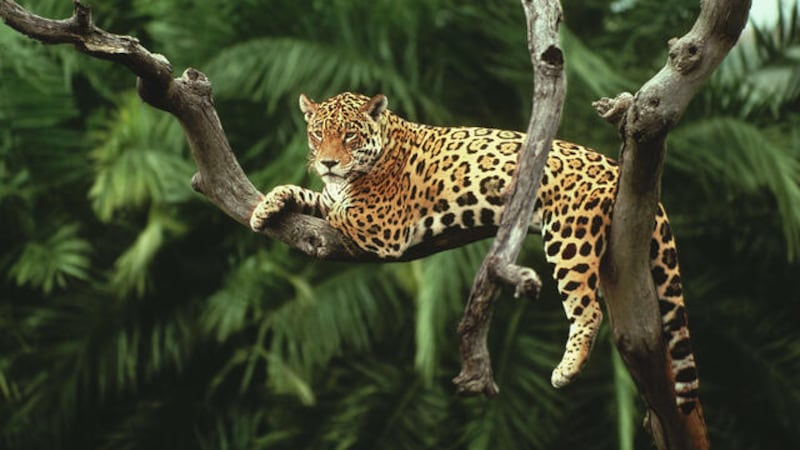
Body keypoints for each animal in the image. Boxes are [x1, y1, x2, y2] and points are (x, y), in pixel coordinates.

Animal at [250, 92, 700, 414]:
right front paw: (266, 206)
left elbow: (337, 208)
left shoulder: (382, 224)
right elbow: (311, 195)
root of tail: (614, 167)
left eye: (350, 136)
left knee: (588, 309)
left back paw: (566, 370)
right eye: (317, 134)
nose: (327, 162)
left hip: (569, 236)